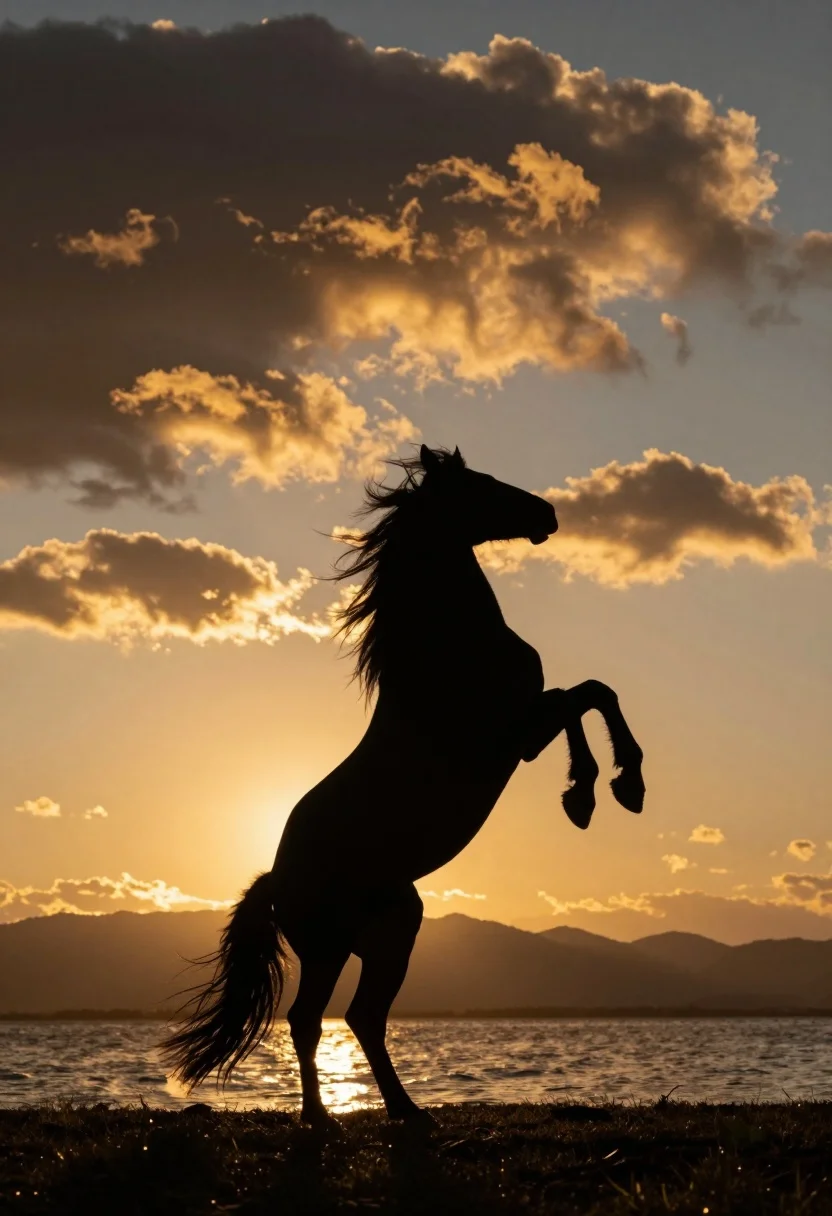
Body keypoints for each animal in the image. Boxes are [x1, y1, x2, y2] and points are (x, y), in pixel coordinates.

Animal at [162, 444, 645, 1127]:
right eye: (481, 484)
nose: (547, 513)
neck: (445, 650)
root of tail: (275, 880)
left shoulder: (525, 729)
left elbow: (589, 695)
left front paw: (594, 792)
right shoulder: (513, 733)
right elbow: (587, 696)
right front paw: (606, 787)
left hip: (392, 932)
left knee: (361, 1017)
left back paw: (406, 1110)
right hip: (330, 947)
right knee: (311, 1020)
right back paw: (324, 1117)